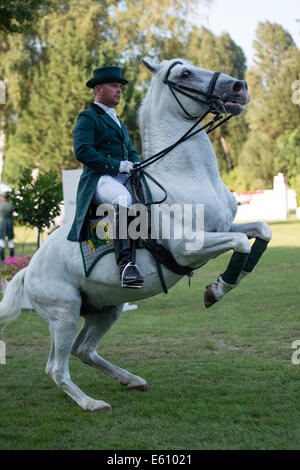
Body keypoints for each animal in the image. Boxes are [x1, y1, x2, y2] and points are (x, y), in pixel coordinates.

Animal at [0, 57, 272, 412]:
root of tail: (29, 268)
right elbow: (241, 243)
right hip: (64, 314)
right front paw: (216, 290)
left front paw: (223, 284)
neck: (185, 175)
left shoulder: (222, 229)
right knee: (57, 367)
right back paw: (92, 403)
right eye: (185, 73)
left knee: (83, 350)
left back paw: (131, 380)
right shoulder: (189, 247)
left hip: (106, 309)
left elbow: (261, 232)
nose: (240, 87)